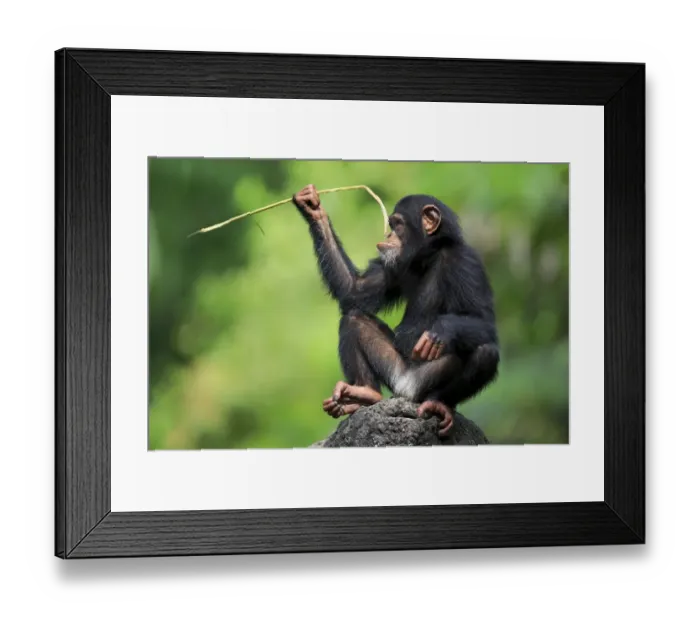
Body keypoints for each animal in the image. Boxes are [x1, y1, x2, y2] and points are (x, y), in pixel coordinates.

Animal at [292, 184, 499, 436]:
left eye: (397, 224)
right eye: (390, 226)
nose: (388, 236)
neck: (429, 254)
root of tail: (405, 391)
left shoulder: (466, 263)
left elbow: (485, 321)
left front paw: (440, 330)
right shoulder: (394, 264)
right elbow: (355, 290)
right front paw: (312, 207)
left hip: (423, 383)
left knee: (486, 352)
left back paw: (439, 405)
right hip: (394, 370)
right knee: (353, 318)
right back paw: (364, 394)